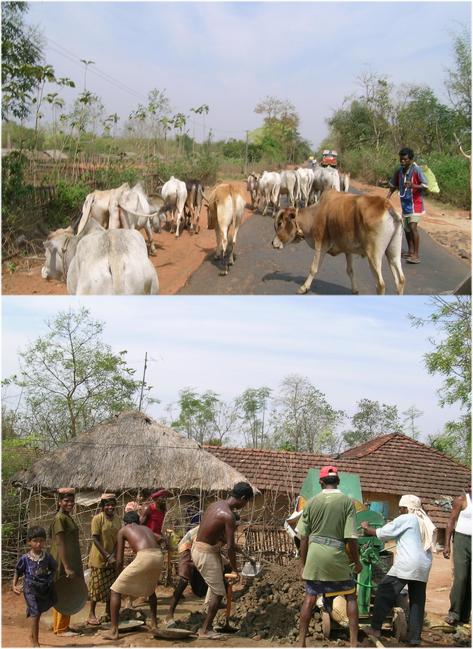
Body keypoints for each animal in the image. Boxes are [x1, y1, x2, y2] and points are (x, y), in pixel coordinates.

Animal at [272, 189, 404, 294]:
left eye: (280, 223)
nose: (273, 243)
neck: (315, 213)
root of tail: (387, 205)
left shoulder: (320, 245)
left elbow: (313, 268)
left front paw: (303, 288)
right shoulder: (348, 250)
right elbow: (350, 271)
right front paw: (355, 290)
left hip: (374, 255)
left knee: (380, 284)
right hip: (393, 254)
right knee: (400, 280)